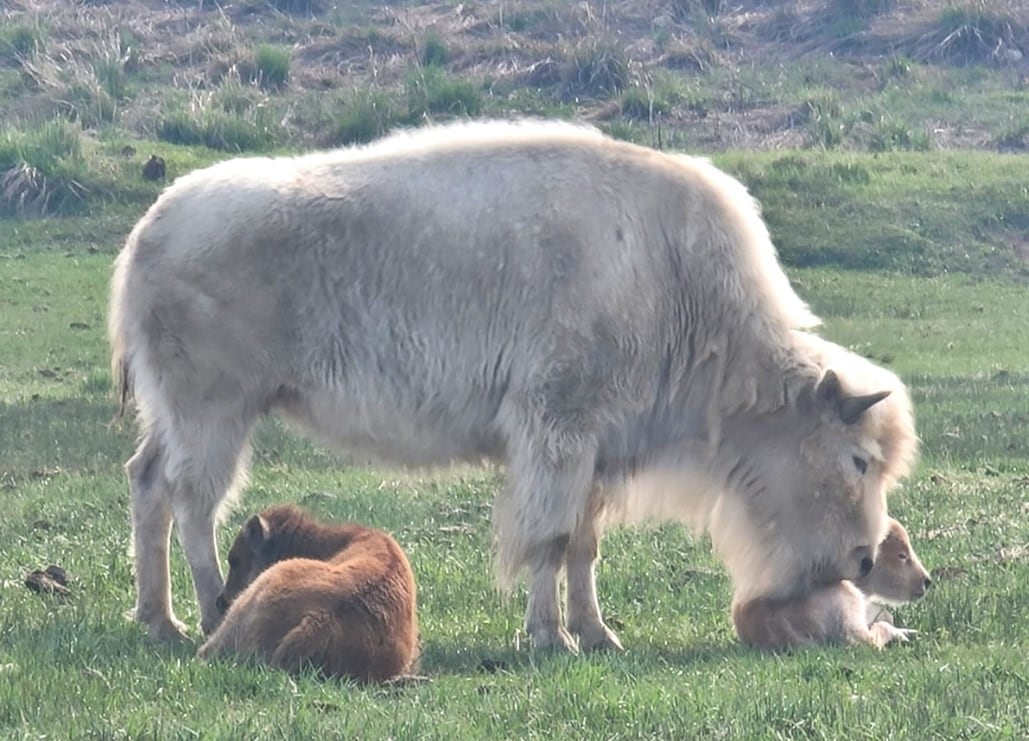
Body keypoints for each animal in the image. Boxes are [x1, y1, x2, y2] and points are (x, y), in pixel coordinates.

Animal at [110, 118, 917, 650]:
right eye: (857, 460)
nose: (861, 558)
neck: (675, 280)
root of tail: (149, 230)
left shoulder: (596, 449)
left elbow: (584, 545)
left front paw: (598, 635)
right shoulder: (557, 432)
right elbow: (550, 539)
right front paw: (549, 638)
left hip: (177, 415)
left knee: (147, 482)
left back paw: (158, 619)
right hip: (215, 413)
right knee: (193, 500)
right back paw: (207, 613)